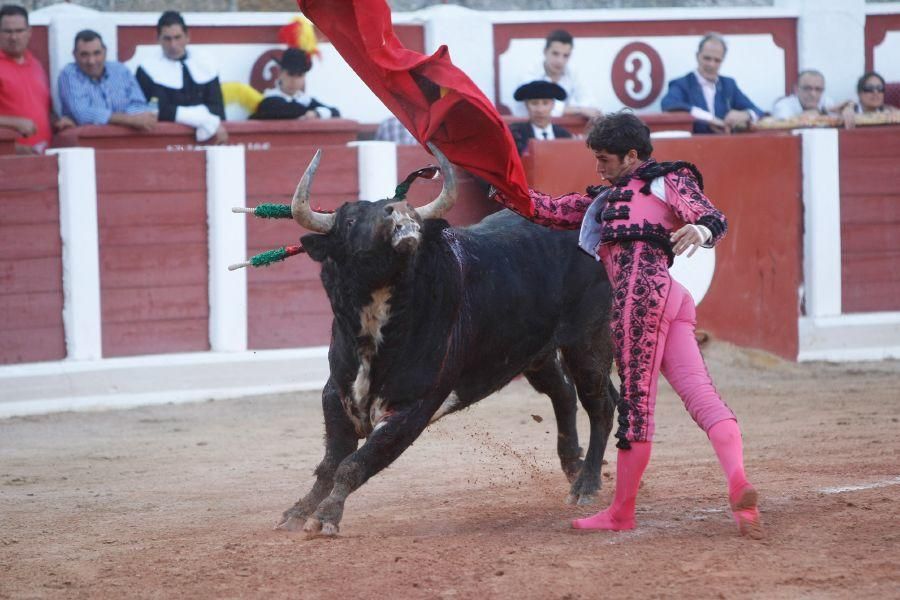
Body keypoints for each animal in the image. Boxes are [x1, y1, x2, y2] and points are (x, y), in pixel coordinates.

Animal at [278, 145, 620, 536]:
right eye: (349, 220)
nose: (400, 210)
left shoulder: (413, 407)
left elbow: (354, 463)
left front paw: (325, 517)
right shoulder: (337, 394)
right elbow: (330, 463)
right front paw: (299, 511)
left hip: (588, 340)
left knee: (600, 404)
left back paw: (586, 485)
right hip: (536, 351)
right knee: (564, 392)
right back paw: (572, 466)